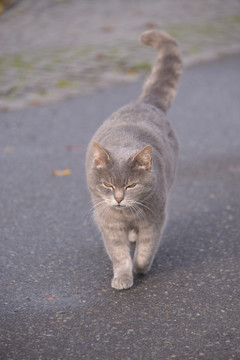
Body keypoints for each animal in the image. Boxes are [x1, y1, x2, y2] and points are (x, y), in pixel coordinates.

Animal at [86, 30, 182, 290]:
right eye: (108, 185)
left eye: (131, 185)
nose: (119, 199)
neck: (127, 215)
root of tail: (144, 103)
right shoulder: (108, 223)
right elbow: (119, 254)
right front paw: (122, 277)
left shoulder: (154, 218)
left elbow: (146, 249)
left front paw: (140, 268)